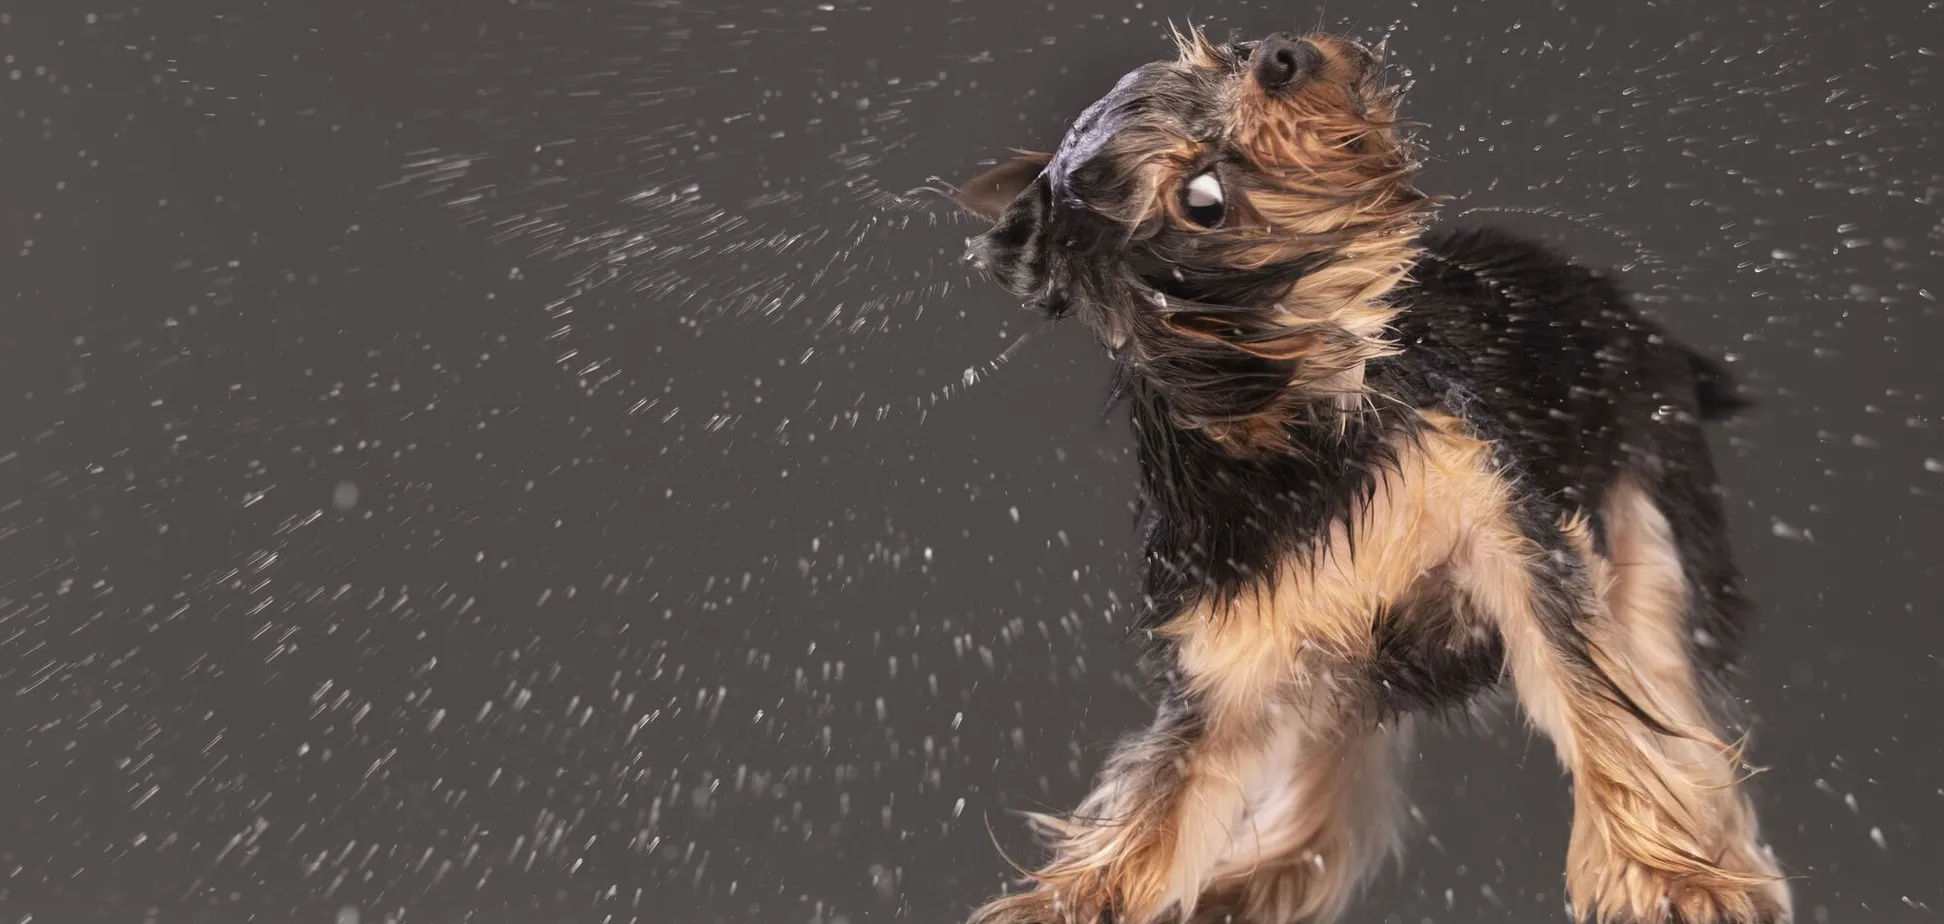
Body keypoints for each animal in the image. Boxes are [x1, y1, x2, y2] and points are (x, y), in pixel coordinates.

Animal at [948, 27, 1780, 924]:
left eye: (1221, 54)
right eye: (1201, 199)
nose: (1278, 54)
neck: (1298, 429)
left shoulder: (1513, 541)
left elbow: (1603, 709)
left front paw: (1671, 879)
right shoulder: (1232, 661)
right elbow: (1155, 813)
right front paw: (1074, 901)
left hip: (1650, 515)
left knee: (1664, 673)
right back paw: (1260, 877)